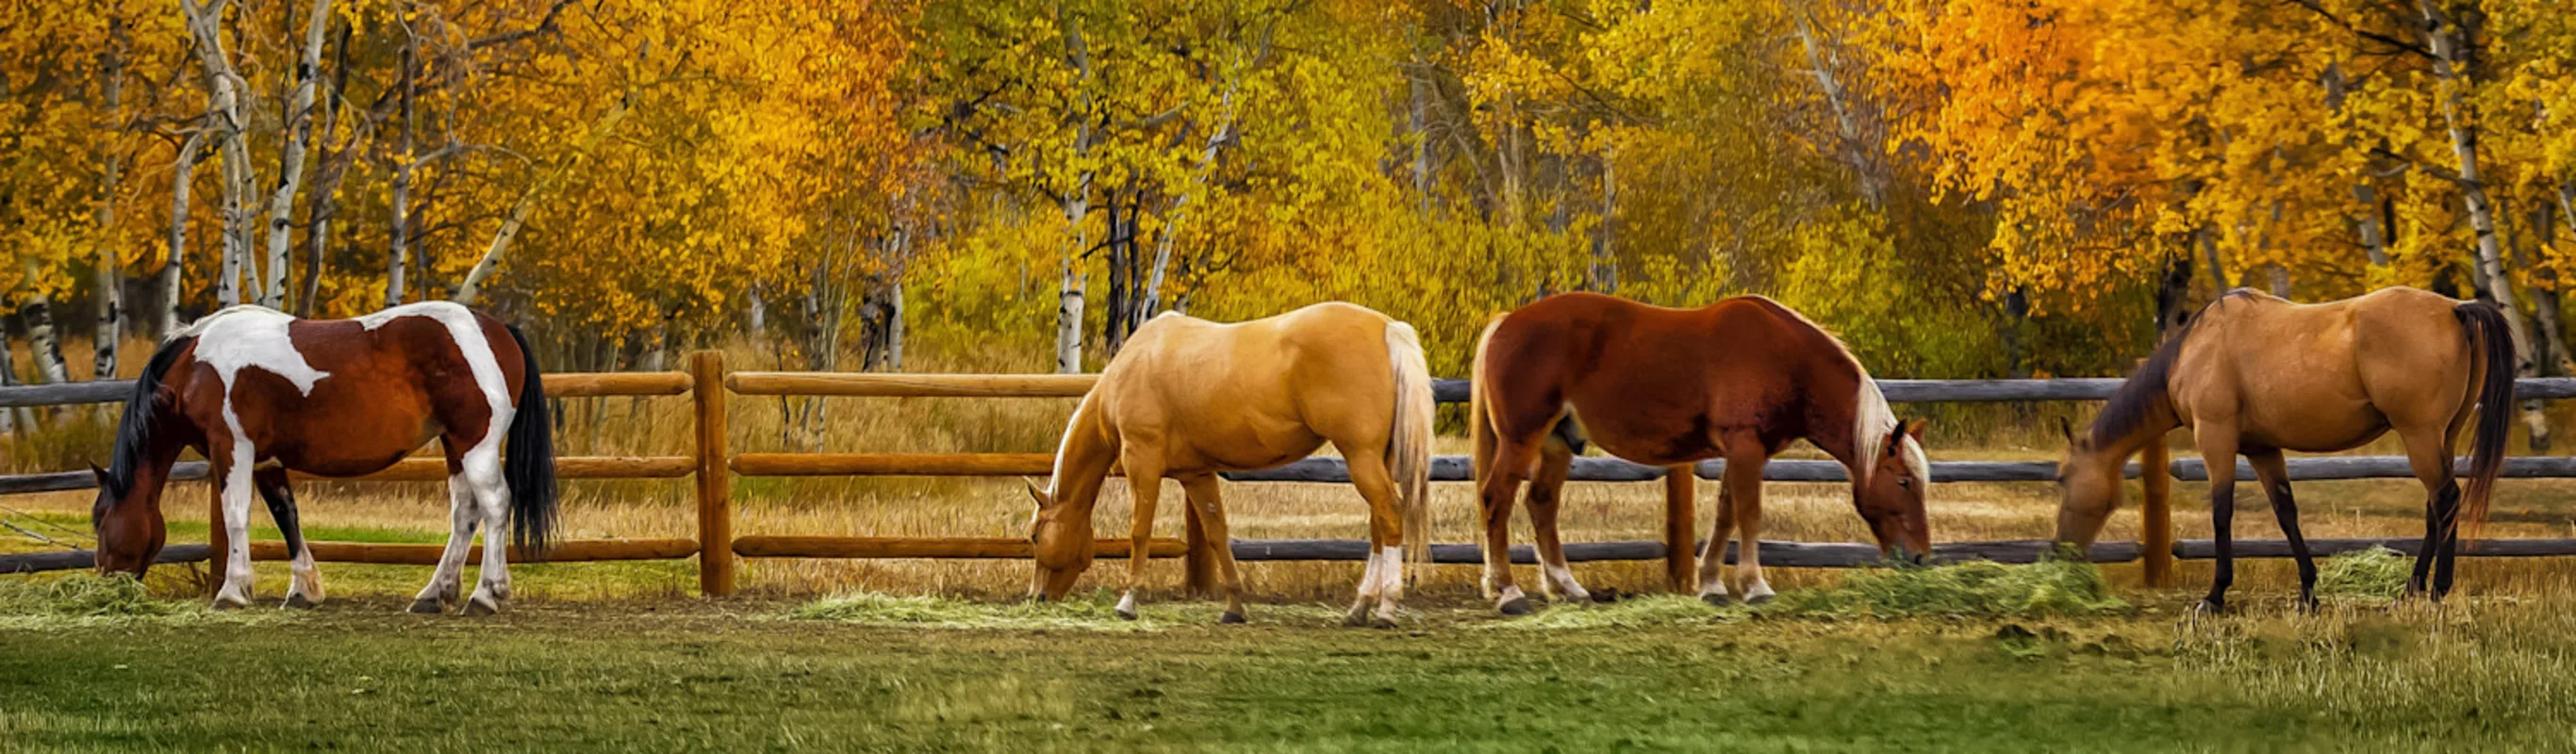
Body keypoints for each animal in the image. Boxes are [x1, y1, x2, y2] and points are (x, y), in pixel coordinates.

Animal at [90, 302, 558, 615]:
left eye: (100, 521)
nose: (105, 584)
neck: (195, 366)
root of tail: (497, 329)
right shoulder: (267, 460)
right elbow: (286, 516)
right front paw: (303, 589)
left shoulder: (233, 447)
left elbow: (236, 515)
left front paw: (233, 591)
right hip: (455, 446)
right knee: (465, 512)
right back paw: (433, 594)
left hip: (476, 443)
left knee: (494, 505)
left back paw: (486, 595)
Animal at [1025, 303, 1435, 627]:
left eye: (1034, 536)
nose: (1035, 597)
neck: (1132, 369)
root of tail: (1387, 327)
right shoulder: (1196, 475)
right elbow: (1217, 535)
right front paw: (1234, 607)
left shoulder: (1142, 463)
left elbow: (1139, 531)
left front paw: (1128, 601)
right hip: (1377, 459)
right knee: (1380, 522)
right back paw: (1359, 608)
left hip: (1361, 456)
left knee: (1389, 513)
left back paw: (1386, 609)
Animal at [1469, 292, 1931, 615]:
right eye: (1904, 480)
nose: (1921, 556)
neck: (1786, 358)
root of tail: (1506, 321)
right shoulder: (1746, 447)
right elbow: (1749, 513)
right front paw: (1755, 587)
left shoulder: (1744, 452)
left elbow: (1726, 513)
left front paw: (1712, 585)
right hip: (1520, 440)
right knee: (1497, 500)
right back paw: (1508, 592)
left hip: (1558, 443)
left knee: (1541, 504)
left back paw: (1568, 587)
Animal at [2056, 288, 2513, 611]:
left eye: (2061, 478)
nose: (2060, 551)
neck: (2196, 349)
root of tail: (2455, 309)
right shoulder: (2262, 449)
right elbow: (2285, 512)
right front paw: (2308, 593)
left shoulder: (2216, 438)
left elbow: (2221, 513)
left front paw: (2215, 596)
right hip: (2443, 437)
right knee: (2436, 507)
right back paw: (2411, 591)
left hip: (2419, 435)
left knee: (2446, 499)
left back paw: (2434, 591)